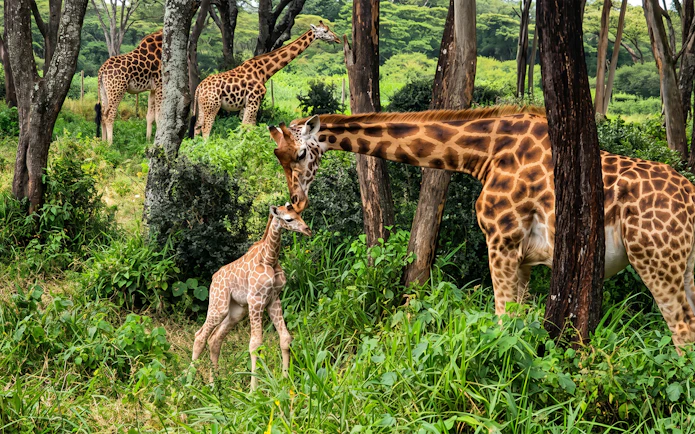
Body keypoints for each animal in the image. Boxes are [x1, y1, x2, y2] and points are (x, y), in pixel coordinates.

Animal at [189, 22, 340, 139]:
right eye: (325, 31)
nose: (338, 39)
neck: (264, 72)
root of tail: (199, 87)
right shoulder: (254, 100)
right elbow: (248, 127)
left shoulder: (247, 104)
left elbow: (245, 127)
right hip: (213, 106)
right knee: (206, 128)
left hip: (203, 105)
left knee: (197, 126)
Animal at [191, 204, 311, 390]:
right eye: (289, 219)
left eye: (300, 215)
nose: (308, 230)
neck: (269, 259)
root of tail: (213, 278)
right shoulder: (255, 299)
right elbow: (255, 344)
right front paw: (253, 390)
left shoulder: (273, 299)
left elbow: (285, 338)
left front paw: (286, 381)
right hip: (219, 305)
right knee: (200, 336)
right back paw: (188, 383)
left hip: (236, 311)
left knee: (214, 339)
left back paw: (214, 386)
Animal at [268, 106, 695, 351]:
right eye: (279, 157)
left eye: (302, 154)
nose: (297, 202)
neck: (483, 153)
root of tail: (690, 197)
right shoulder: (524, 258)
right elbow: (520, 324)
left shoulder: (501, 241)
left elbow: (503, 319)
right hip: (685, 266)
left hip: (656, 260)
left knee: (682, 329)